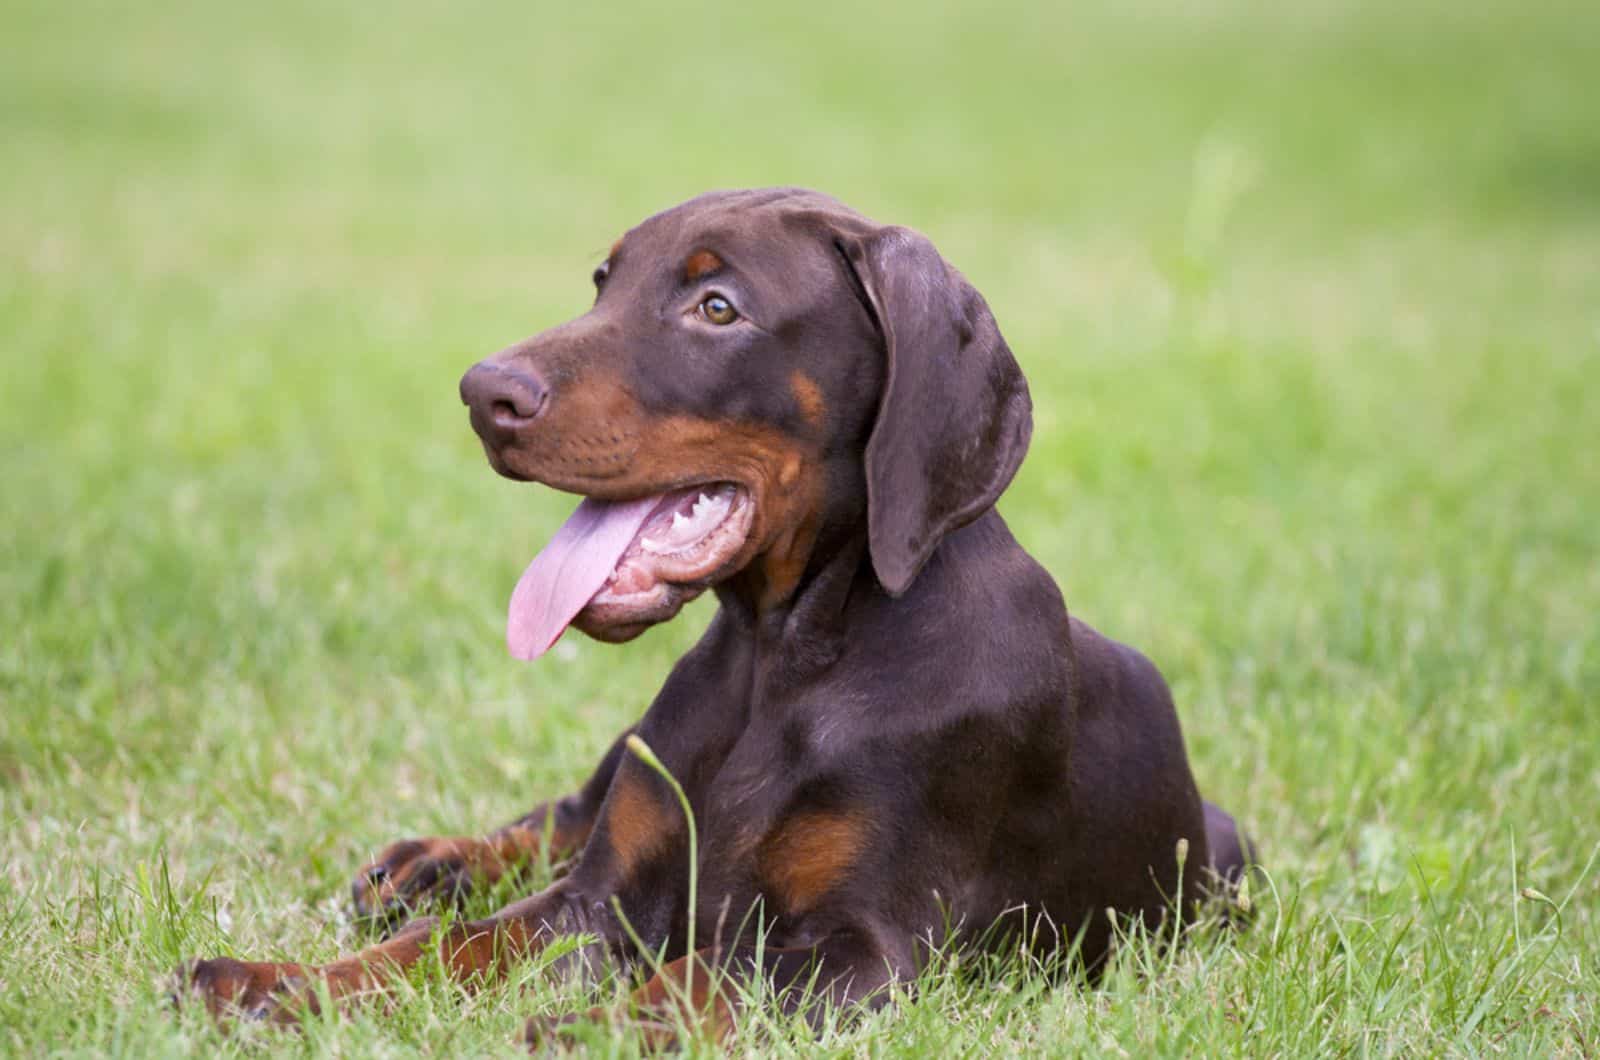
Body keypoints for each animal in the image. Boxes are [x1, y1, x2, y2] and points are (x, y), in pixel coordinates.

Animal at [175, 188, 1248, 1043]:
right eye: (602, 283)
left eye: (717, 307)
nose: (483, 395)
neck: (787, 660)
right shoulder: (596, 901)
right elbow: (443, 946)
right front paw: (277, 984)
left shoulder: (867, 948)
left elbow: (704, 977)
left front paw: (579, 1032)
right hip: (635, 754)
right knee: (562, 814)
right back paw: (430, 864)